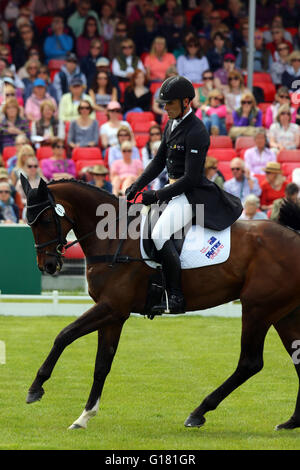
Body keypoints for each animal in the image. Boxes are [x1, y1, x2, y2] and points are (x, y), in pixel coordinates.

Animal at [21, 175, 300, 430]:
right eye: (29, 221)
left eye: (46, 220)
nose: (48, 266)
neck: (112, 238)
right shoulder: (114, 314)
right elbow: (101, 364)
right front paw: (84, 416)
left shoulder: (111, 307)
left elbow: (64, 335)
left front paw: (36, 388)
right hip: (283, 314)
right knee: (296, 358)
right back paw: (291, 421)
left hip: (257, 310)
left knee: (249, 363)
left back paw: (198, 413)